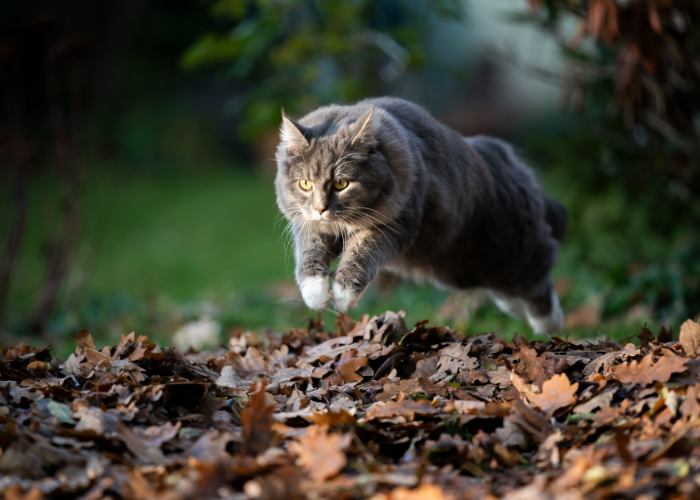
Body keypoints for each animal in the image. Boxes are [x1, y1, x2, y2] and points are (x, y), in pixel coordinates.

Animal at [274, 96, 568, 334]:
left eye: (340, 184)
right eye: (305, 184)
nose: (320, 208)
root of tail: (504, 154)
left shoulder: (392, 226)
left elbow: (359, 256)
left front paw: (343, 295)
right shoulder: (310, 228)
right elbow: (309, 258)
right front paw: (317, 294)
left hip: (510, 250)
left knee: (540, 272)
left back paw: (550, 325)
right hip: (468, 269)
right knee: (510, 291)